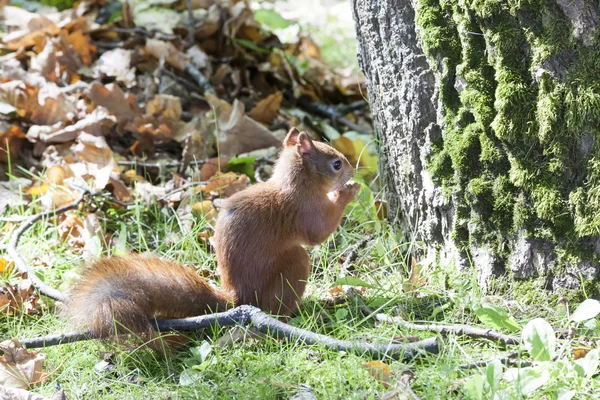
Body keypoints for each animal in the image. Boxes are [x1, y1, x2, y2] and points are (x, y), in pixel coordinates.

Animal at [69, 129, 360, 340]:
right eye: (336, 164)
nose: (352, 170)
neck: (296, 185)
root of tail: (238, 298)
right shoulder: (303, 209)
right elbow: (318, 232)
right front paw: (348, 192)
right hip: (295, 263)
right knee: (283, 297)